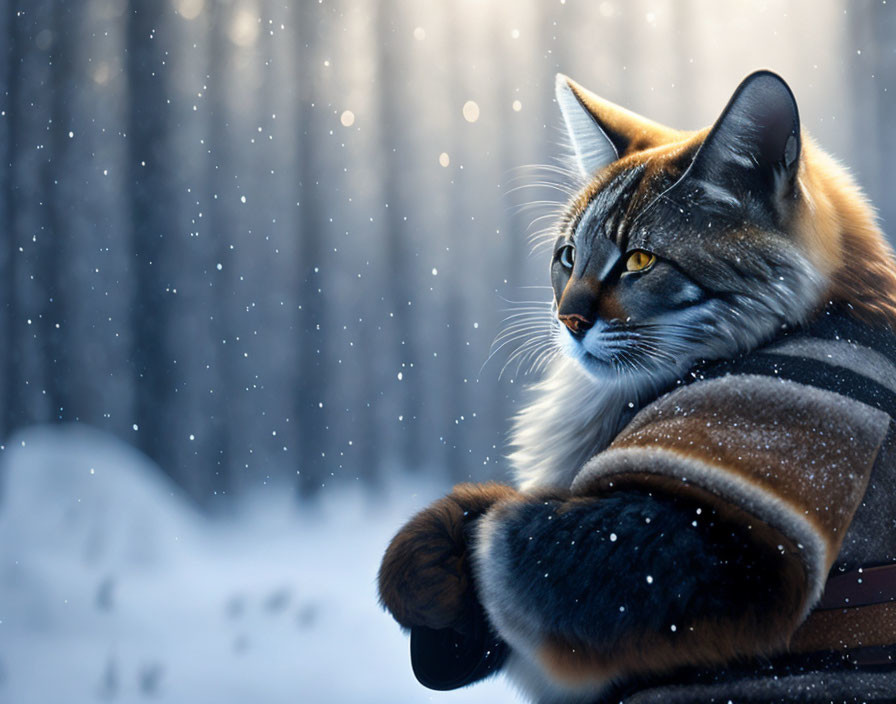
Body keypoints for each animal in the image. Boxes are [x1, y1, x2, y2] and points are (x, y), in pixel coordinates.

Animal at [378, 73, 896, 704]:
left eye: (640, 260)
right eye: (568, 257)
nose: (567, 320)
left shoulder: (731, 512)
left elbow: (507, 542)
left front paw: (431, 549)